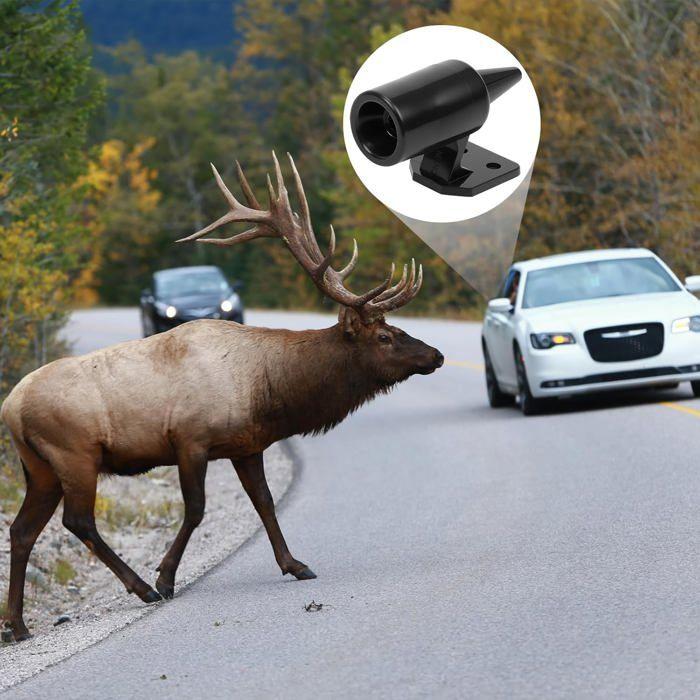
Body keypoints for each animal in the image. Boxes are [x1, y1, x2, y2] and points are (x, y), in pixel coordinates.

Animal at [1, 152, 444, 642]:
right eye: (384, 336)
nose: (436, 355)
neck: (267, 390)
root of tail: (10, 408)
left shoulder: (246, 445)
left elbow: (265, 502)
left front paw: (295, 564)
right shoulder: (189, 440)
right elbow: (196, 510)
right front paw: (165, 577)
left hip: (39, 468)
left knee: (21, 531)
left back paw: (17, 624)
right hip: (75, 455)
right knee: (78, 521)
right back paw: (140, 588)